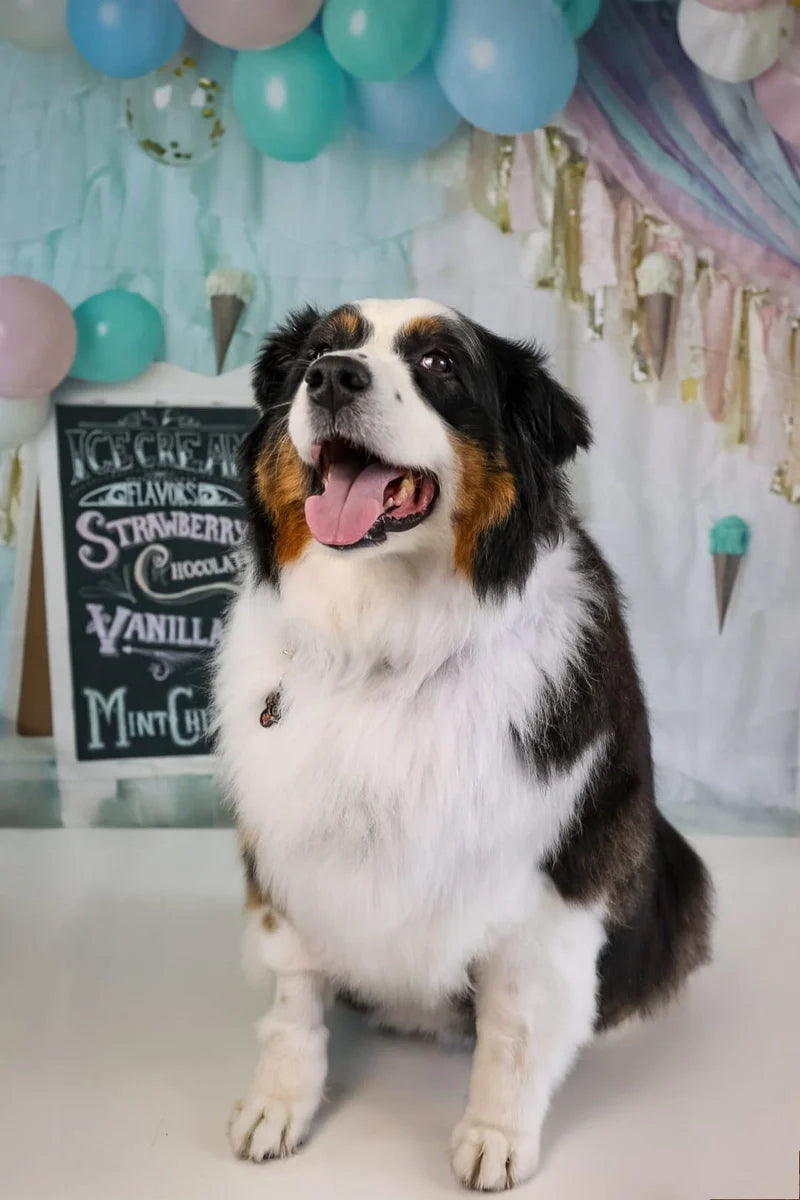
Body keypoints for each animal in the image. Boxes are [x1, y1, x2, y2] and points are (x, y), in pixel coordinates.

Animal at [214, 297, 714, 1190]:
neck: (387, 647)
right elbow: (292, 1006)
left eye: (441, 364)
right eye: (321, 348)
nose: (332, 377)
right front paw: (278, 1103)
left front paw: (495, 1134)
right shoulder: (284, 856)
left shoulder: (551, 882)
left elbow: (514, 1030)